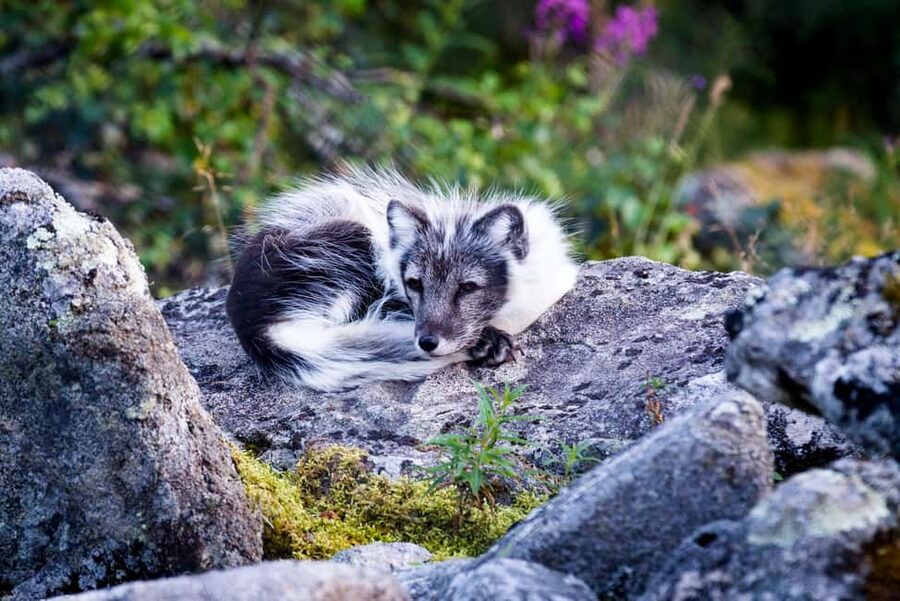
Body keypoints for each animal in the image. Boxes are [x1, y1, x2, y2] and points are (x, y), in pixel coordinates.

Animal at [225, 167, 579, 391]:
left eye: (467, 287)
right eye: (415, 283)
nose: (427, 343)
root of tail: (255, 330)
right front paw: (488, 340)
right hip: (350, 241)